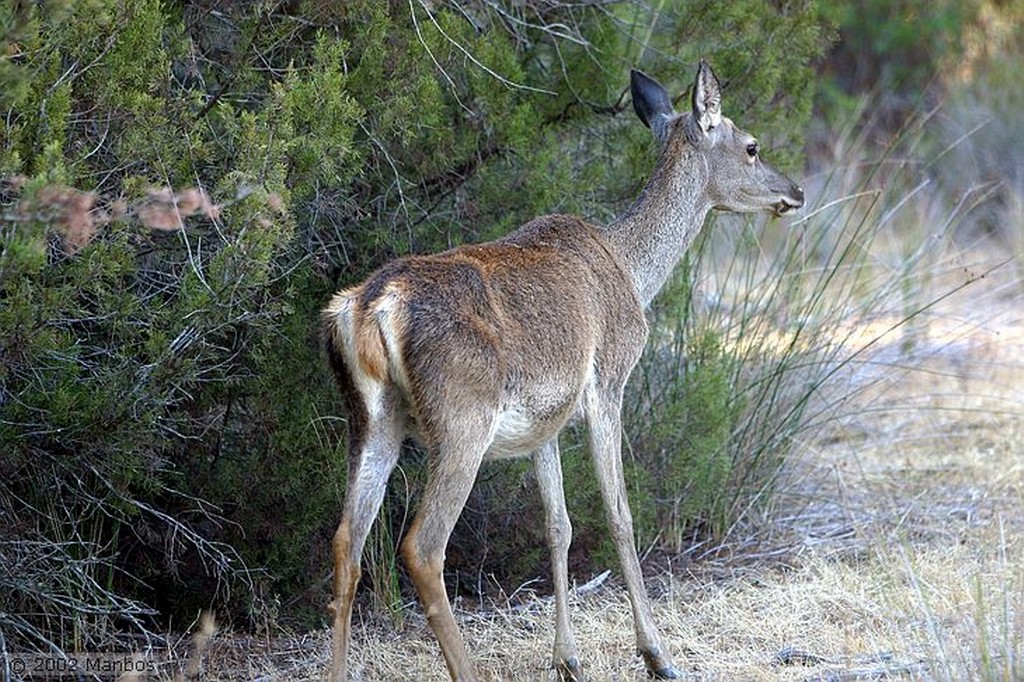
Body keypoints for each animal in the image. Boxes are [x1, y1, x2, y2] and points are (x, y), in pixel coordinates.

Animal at [323, 59, 802, 679]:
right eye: (751, 146)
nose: (794, 191)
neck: (633, 272)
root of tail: (370, 308)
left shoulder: (543, 421)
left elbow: (559, 525)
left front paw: (567, 658)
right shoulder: (609, 383)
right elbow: (619, 514)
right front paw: (656, 653)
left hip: (370, 420)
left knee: (345, 542)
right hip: (461, 419)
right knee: (421, 548)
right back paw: (469, 668)